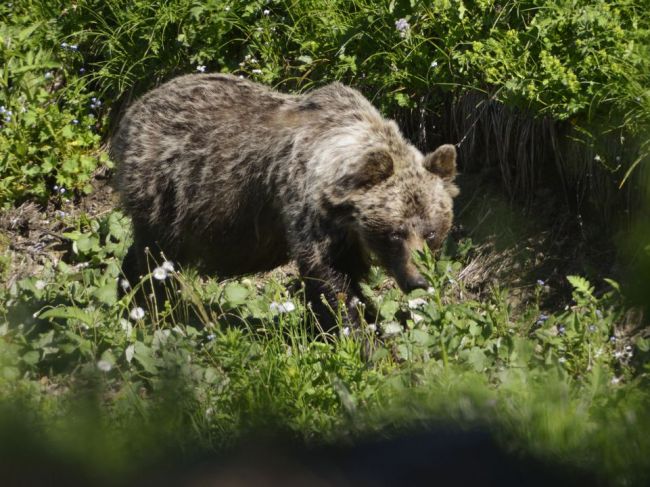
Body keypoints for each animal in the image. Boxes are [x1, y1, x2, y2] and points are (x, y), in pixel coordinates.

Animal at [110, 72, 456, 332]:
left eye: (431, 232)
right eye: (395, 233)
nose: (419, 280)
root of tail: (134, 108)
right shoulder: (308, 210)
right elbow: (330, 279)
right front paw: (359, 334)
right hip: (167, 192)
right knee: (155, 259)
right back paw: (149, 308)